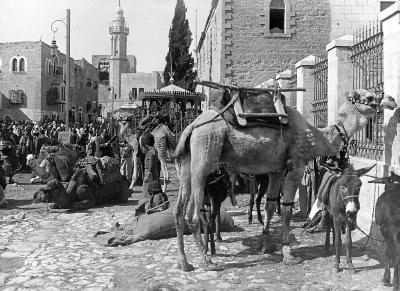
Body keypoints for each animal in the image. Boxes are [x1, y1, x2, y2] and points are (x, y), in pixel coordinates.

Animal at [173, 86, 396, 272]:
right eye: (369, 97)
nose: (392, 100)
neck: (314, 136)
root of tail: (191, 127)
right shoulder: (296, 165)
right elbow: (287, 209)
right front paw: (288, 254)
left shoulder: (276, 170)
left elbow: (271, 206)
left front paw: (265, 246)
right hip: (204, 155)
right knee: (193, 216)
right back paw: (207, 261)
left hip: (187, 163)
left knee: (178, 211)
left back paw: (185, 263)